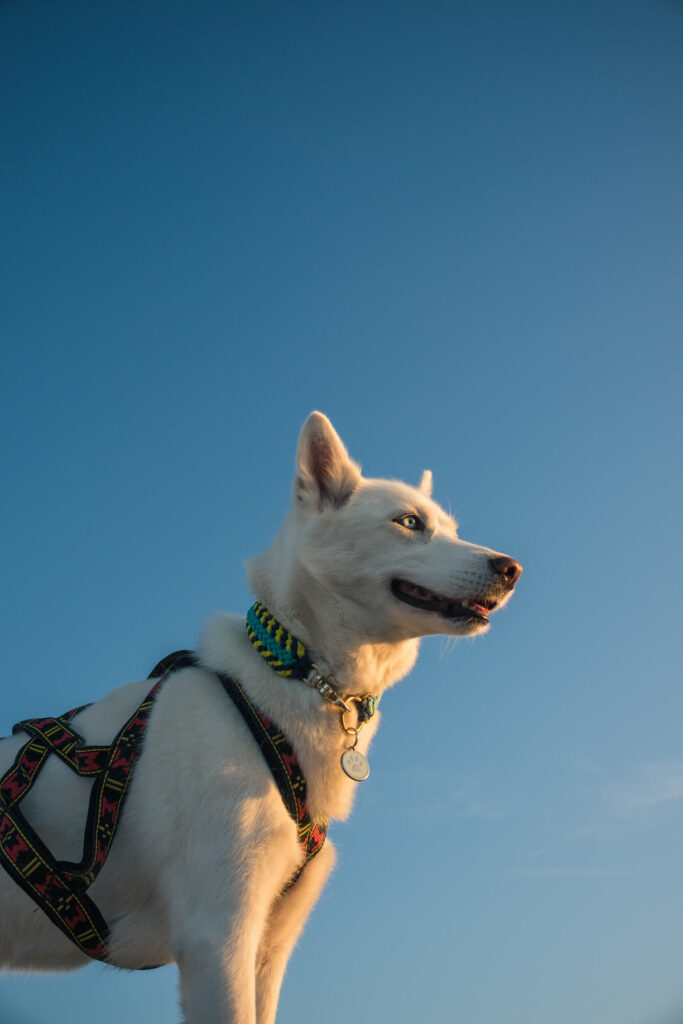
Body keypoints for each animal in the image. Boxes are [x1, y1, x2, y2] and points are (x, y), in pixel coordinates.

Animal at [1, 413, 524, 1024]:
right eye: (410, 522)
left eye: (453, 529)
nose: (511, 569)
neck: (290, 675)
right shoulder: (219, 934)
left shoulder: (270, 945)